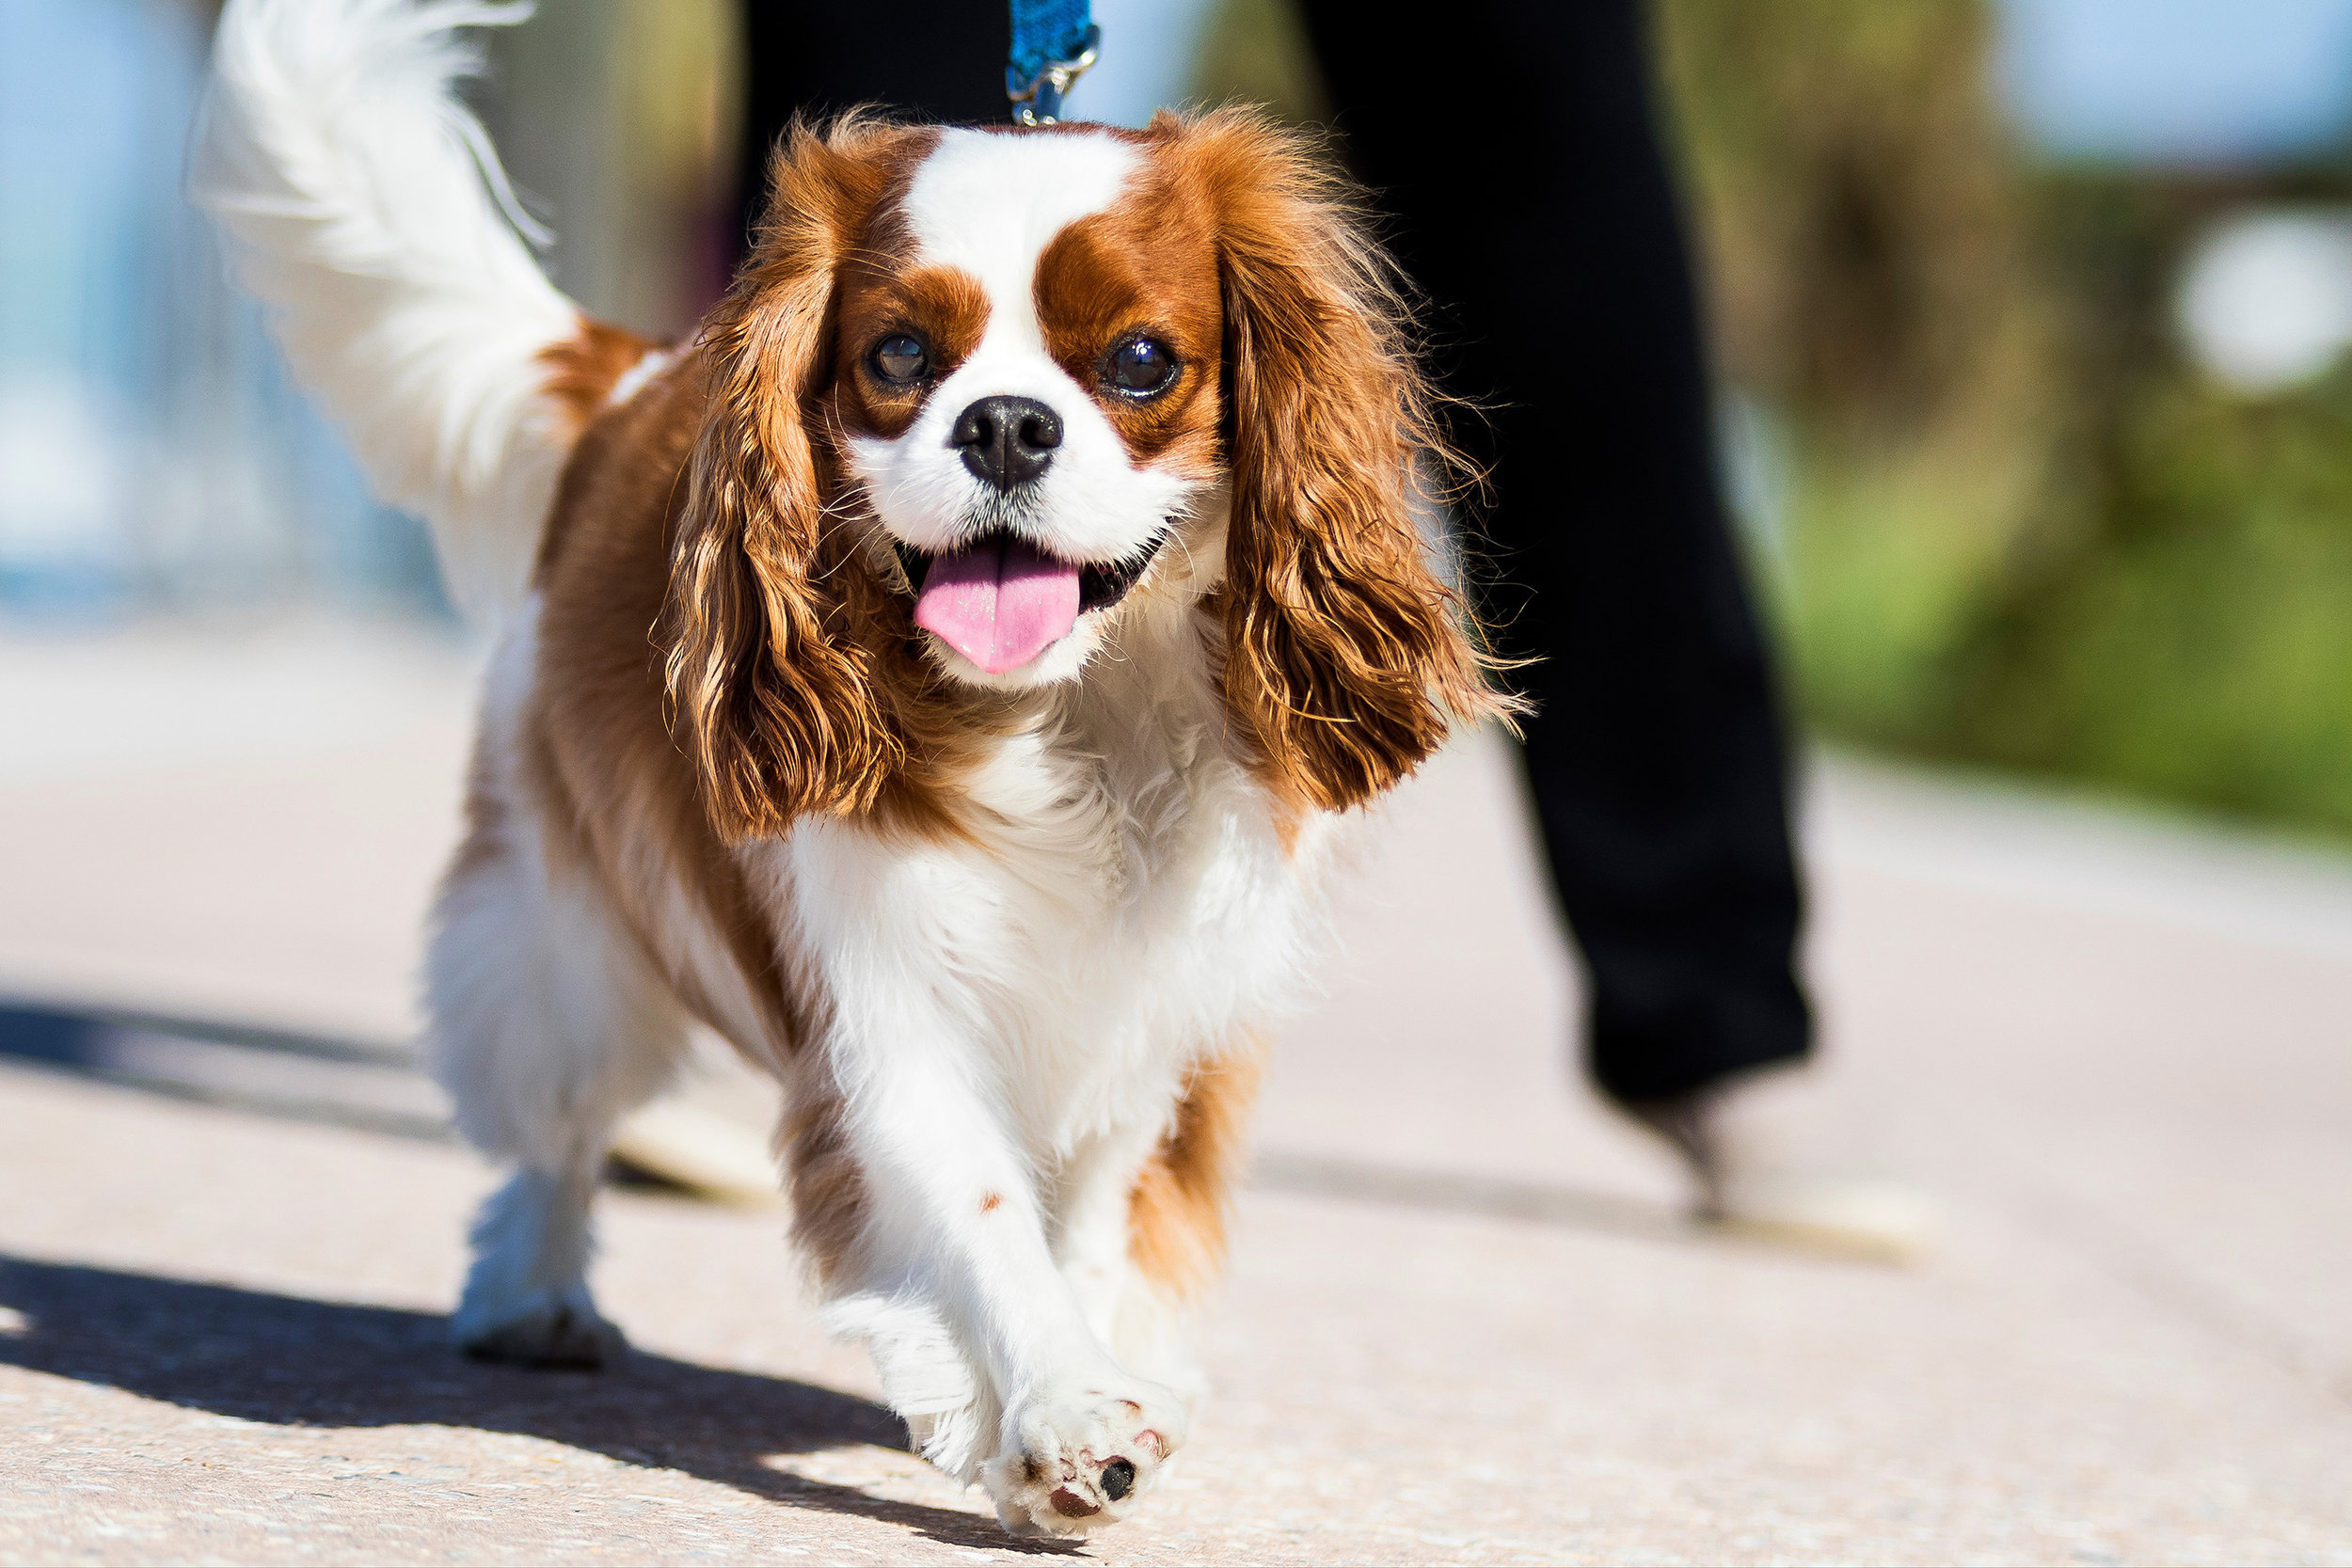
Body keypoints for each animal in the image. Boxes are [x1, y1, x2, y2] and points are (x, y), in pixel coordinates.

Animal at [193, 0, 1496, 1532]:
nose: (1005, 423)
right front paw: (1060, 1416)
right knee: (554, 1128)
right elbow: (983, 1212)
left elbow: (1092, 1217)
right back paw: (531, 1295)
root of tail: (637, 376)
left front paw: (1103, 1365)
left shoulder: (1146, 1016)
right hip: (555, 935)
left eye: (1139, 362)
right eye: (897, 356)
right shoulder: (887, 1017)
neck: (1074, 717)